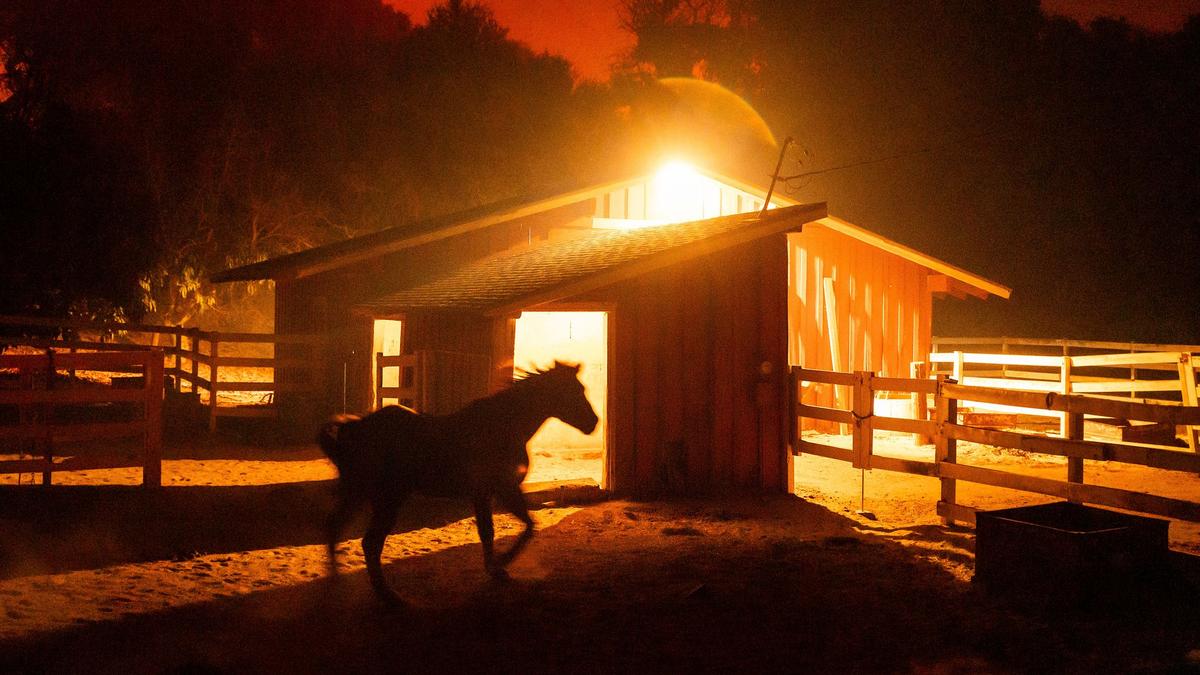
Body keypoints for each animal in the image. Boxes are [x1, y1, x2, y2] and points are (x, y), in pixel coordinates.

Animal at [319, 360, 600, 600]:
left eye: (582, 388)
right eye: (572, 390)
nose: (593, 423)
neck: (503, 426)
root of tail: (354, 427)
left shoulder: (496, 492)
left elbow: (514, 528)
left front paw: (497, 567)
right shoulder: (499, 490)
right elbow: (508, 529)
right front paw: (500, 564)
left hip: (358, 493)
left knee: (335, 526)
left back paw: (337, 580)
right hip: (387, 498)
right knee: (369, 543)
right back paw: (388, 596)